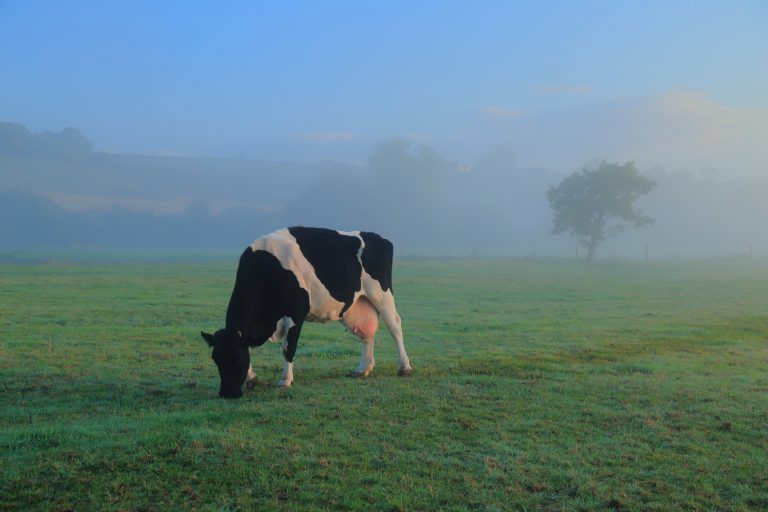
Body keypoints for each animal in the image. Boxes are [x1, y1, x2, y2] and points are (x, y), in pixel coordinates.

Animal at [201, 226, 412, 398]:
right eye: (215, 359)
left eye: (237, 358)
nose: (227, 393)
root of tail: (378, 237)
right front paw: (251, 378)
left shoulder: (296, 312)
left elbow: (289, 348)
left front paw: (285, 381)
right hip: (359, 303)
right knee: (367, 332)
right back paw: (363, 369)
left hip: (382, 294)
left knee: (395, 326)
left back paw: (405, 367)